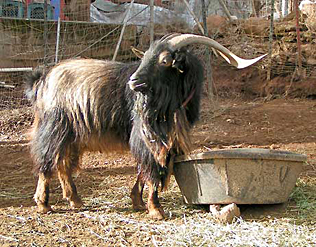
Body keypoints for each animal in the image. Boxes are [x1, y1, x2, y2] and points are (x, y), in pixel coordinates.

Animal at [25, 33, 266, 220]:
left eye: (165, 60)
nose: (133, 82)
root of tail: (43, 77)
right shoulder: (147, 135)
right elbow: (151, 168)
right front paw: (156, 209)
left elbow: (144, 169)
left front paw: (138, 202)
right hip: (54, 126)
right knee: (47, 161)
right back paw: (44, 204)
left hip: (74, 135)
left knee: (63, 164)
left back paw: (75, 200)